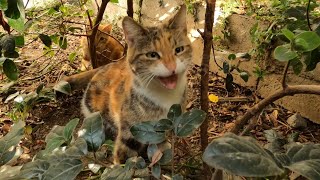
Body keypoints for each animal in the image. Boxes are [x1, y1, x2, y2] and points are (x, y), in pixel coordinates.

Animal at [63, 5, 191, 163]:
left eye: (179, 50)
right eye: (152, 55)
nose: (172, 66)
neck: (166, 96)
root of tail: (103, 67)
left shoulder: (166, 122)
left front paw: (161, 146)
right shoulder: (129, 131)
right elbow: (123, 157)